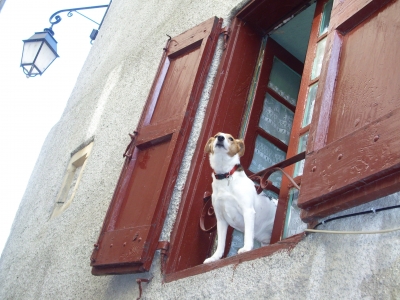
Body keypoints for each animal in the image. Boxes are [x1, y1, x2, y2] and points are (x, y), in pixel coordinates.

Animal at [202, 132, 276, 264]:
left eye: (231, 138)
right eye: (216, 136)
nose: (220, 138)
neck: (225, 175)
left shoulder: (248, 211)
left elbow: (248, 234)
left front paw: (246, 249)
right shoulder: (220, 219)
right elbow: (220, 244)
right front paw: (214, 258)